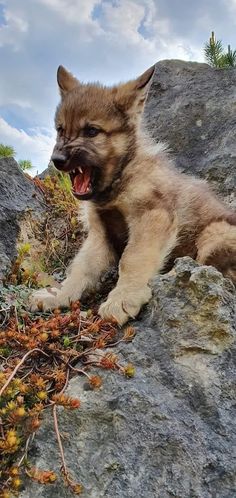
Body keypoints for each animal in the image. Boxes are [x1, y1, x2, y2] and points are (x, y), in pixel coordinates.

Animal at [31, 64, 236, 324]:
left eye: (91, 131)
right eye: (60, 129)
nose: (57, 160)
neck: (119, 178)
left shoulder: (151, 216)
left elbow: (132, 259)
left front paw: (123, 297)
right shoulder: (100, 233)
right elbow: (81, 267)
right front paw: (59, 294)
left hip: (214, 232)